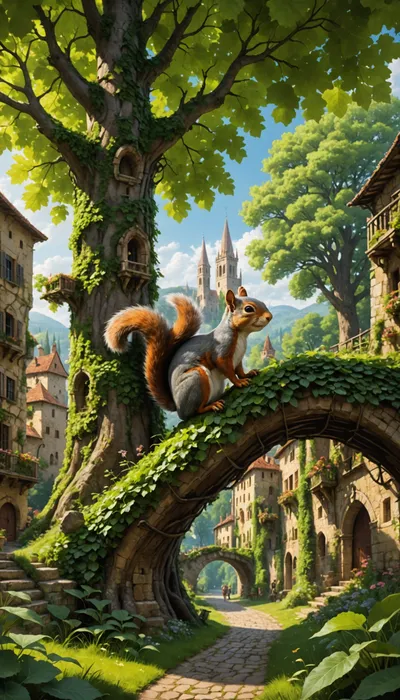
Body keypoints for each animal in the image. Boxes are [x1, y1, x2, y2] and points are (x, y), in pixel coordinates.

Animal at [104, 286, 272, 421]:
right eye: (249, 309)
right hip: (196, 379)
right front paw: (239, 382)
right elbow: (227, 369)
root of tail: (177, 406)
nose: (269, 317)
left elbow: (239, 370)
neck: (241, 335)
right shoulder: (221, 352)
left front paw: (248, 374)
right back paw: (209, 407)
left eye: (262, 302)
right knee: (193, 412)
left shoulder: (237, 358)